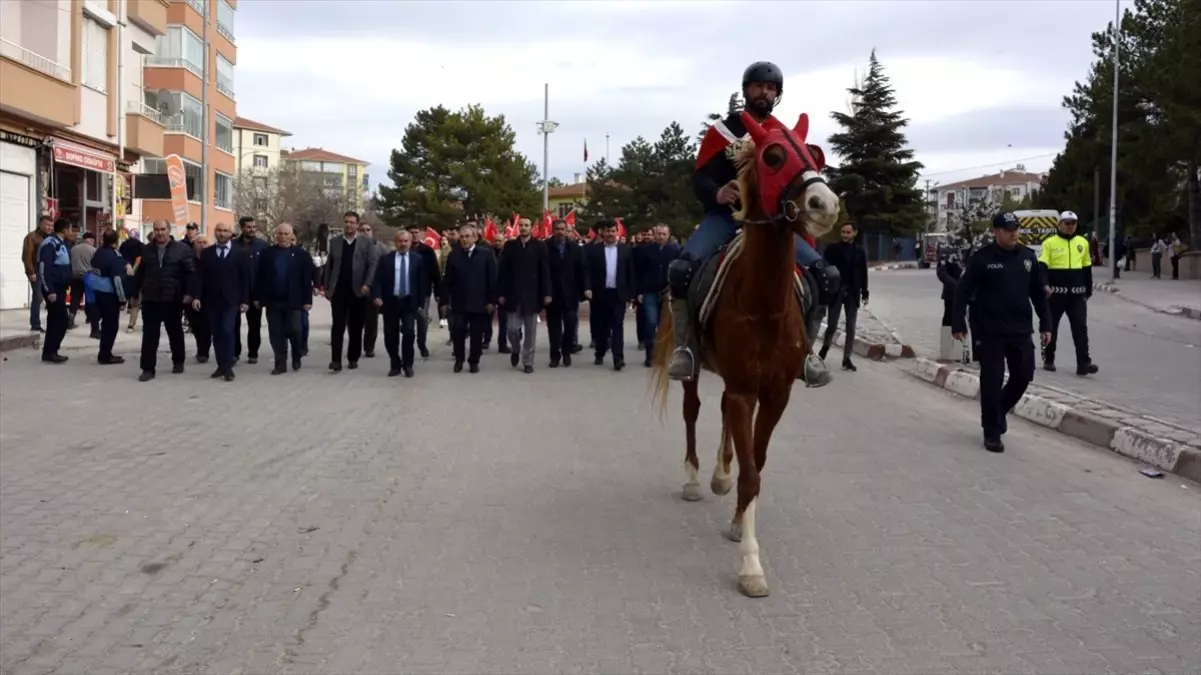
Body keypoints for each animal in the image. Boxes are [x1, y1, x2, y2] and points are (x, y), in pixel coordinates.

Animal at [653, 112, 840, 595]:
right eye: (773, 156)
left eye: (814, 156)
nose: (824, 205)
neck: (765, 303)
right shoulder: (743, 390)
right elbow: (751, 471)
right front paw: (751, 566)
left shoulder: (774, 394)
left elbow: (757, 464)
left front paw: (739, 523)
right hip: (697, 370)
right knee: (695, 411)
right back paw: (695, 478)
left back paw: (720, 476)